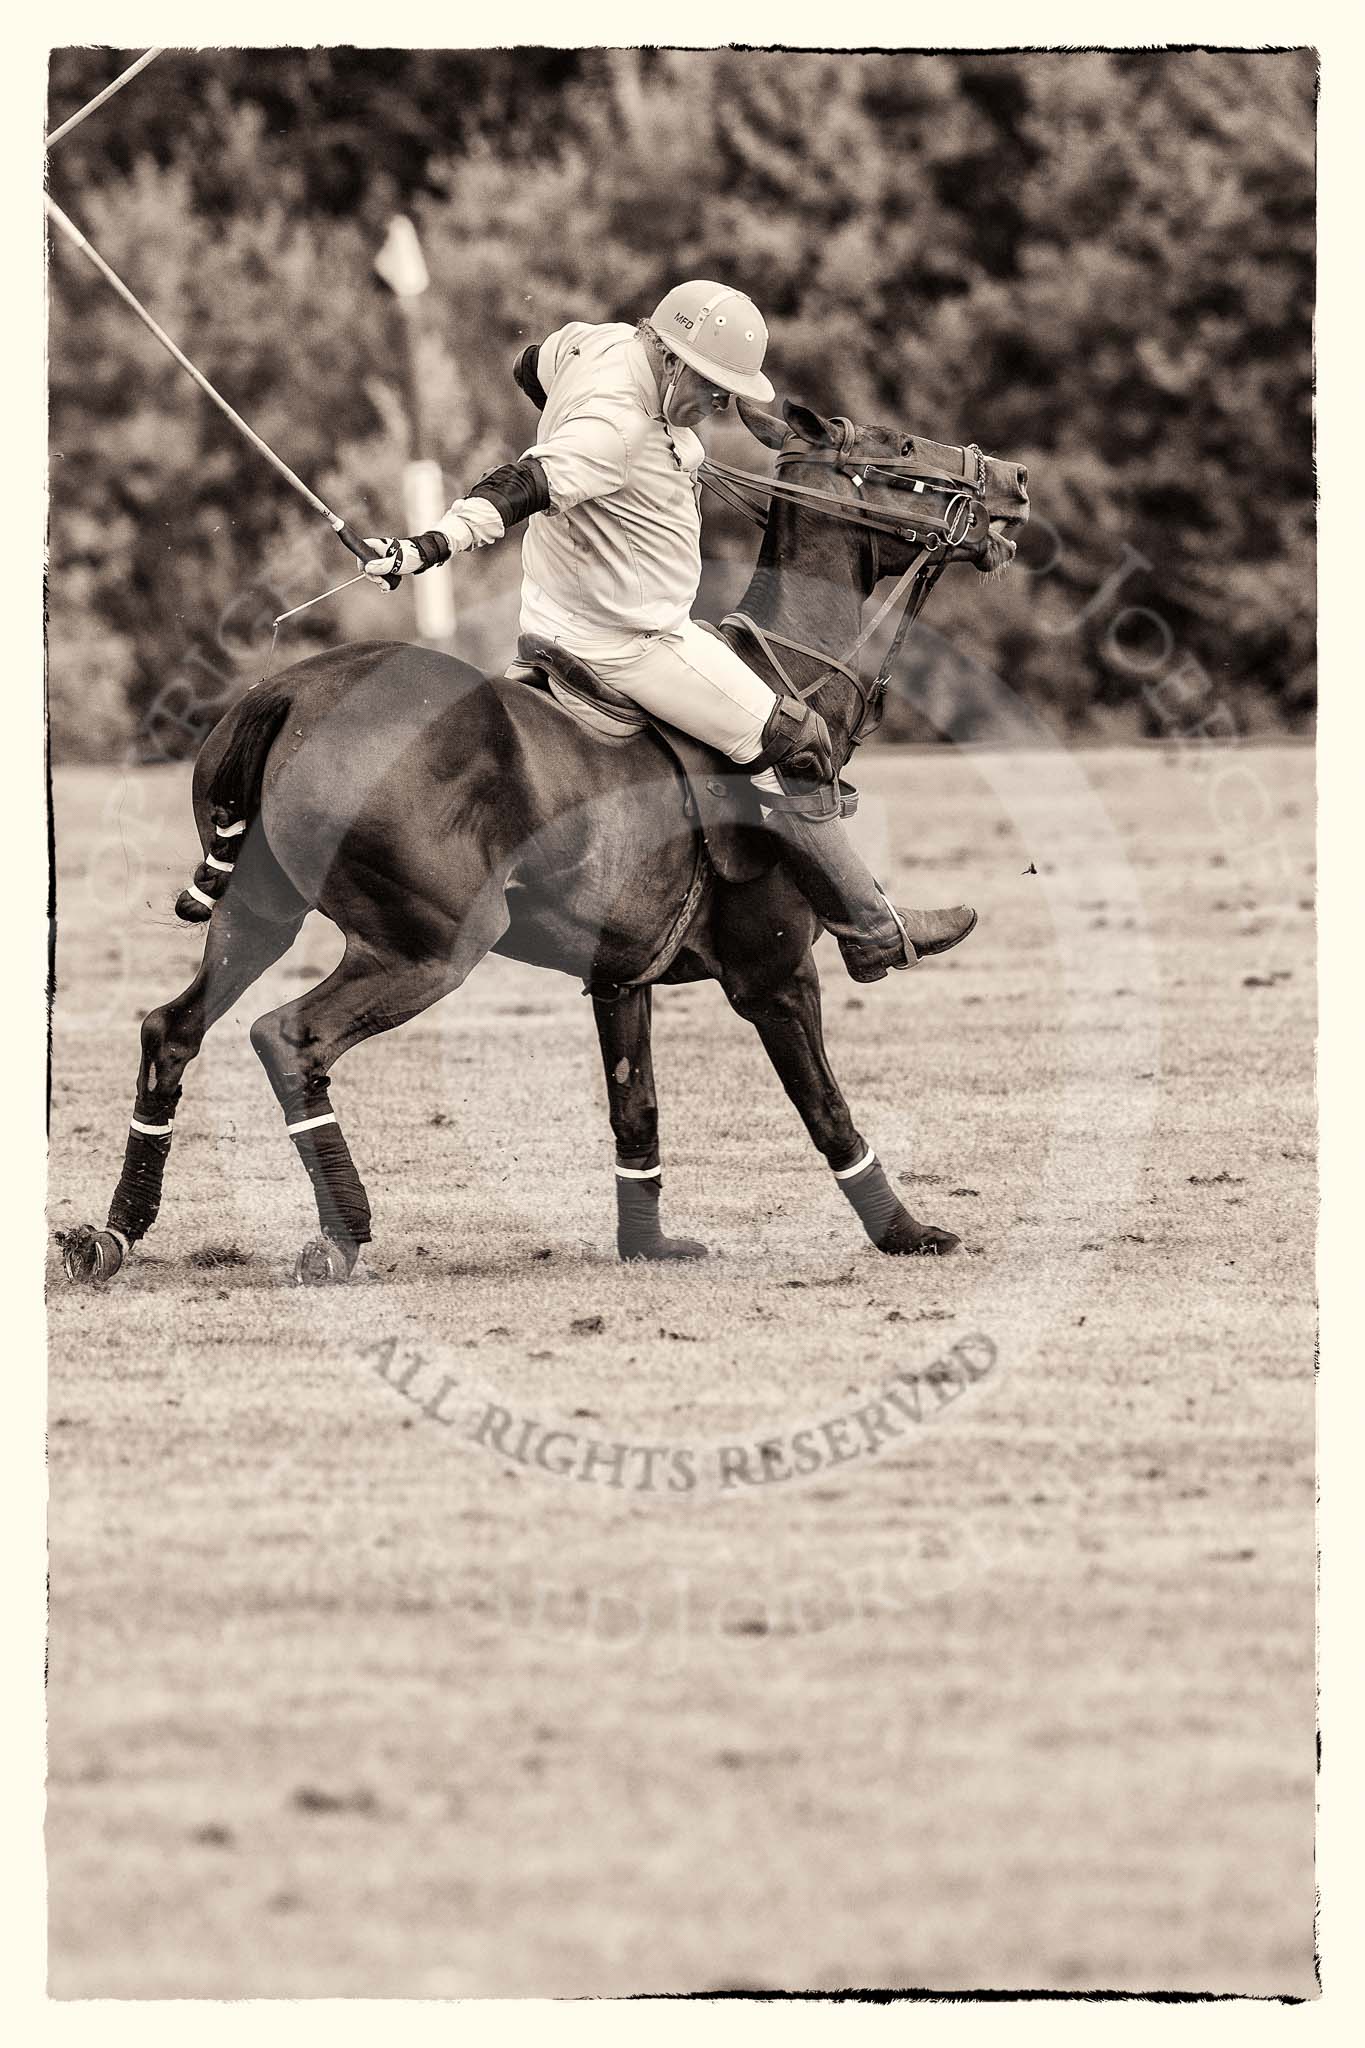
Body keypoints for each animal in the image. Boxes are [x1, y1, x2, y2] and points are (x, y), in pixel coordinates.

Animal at [58, 397, 1031, 1277]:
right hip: (430, 943)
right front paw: (907, 1231)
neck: (788, 670)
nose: (1014, 482)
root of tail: (286, 694)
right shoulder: (775, 970)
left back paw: (111, 1234)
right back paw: (340, 1236)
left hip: (259, 912)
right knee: (288, 1037)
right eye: (898, 443)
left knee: (170, 1029)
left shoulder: (618, 975)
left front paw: (648, 1245)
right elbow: (825, 1106)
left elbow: (635, 1110)